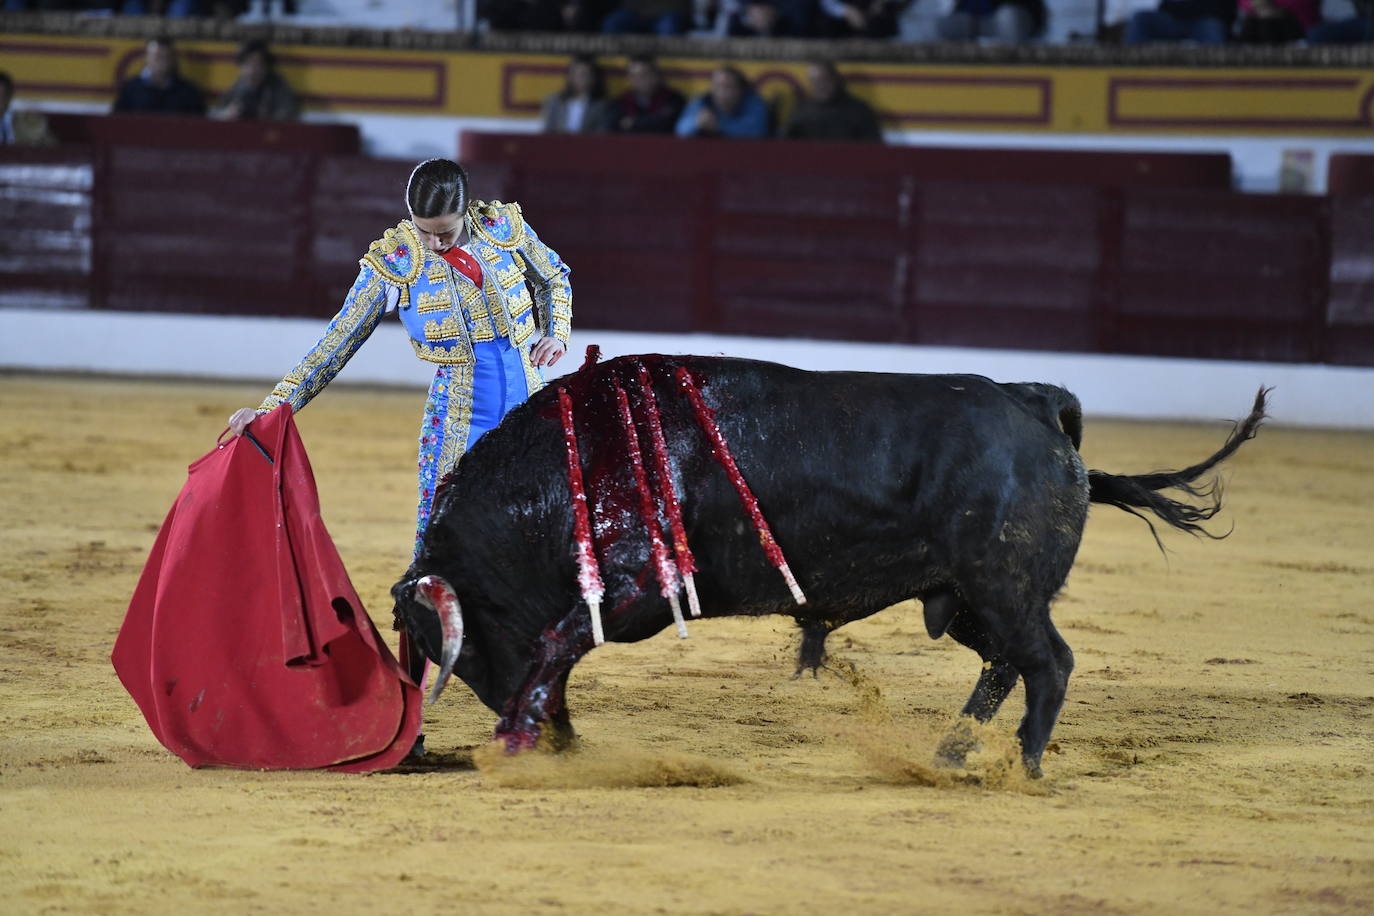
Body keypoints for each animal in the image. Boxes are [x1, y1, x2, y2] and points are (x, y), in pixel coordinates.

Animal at [390, 354, 1264, 780]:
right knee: (1004, 665)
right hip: (965, 599)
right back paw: (949, 754)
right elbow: (560, 655)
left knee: (1048, 662)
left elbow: (555, 645)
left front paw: (522, 737)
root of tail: (1035, 403)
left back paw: (1021, 764)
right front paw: (552, 736)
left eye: (444, 648)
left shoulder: (639, 589)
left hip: (1004, 586)